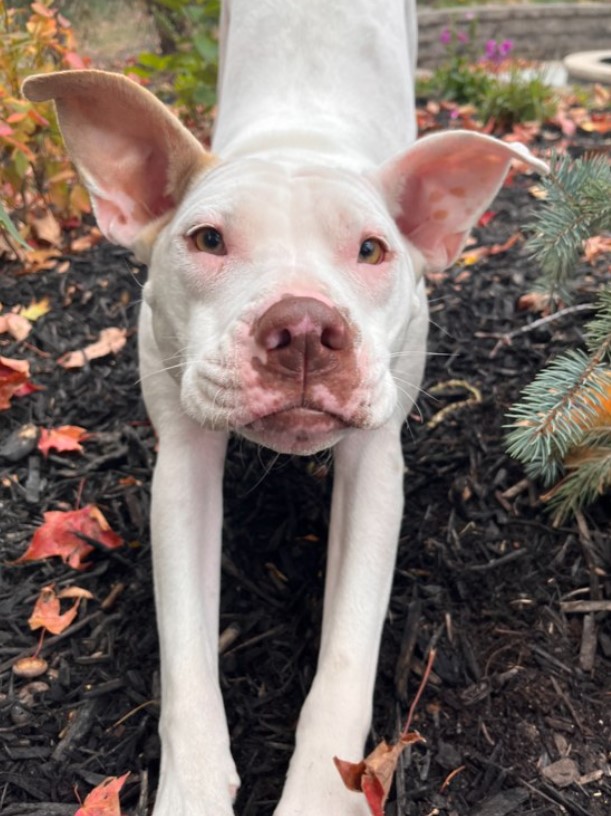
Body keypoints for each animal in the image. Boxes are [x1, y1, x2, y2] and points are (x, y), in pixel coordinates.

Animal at [25, 3, 548, 812]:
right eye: (207, 239)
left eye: (372, 251)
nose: (303, 326)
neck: (296, 141)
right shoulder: (181, 467)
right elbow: (185, 657)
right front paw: (193, 791)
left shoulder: (374, 468)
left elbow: (348, 653)